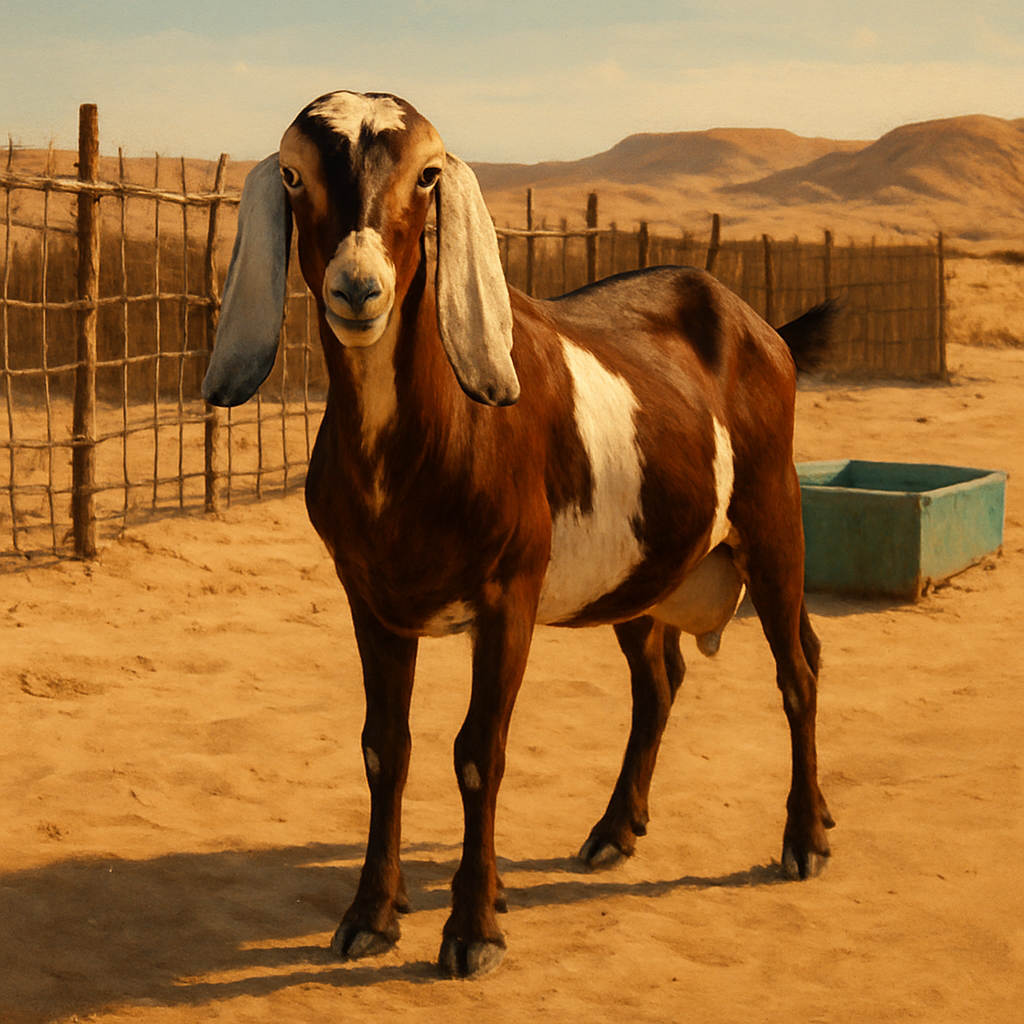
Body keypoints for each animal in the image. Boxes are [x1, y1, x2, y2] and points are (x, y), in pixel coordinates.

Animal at [203, 90, 837, 979]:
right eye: (294, 176)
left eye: (427, 177)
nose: (359, 289)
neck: (426, 439)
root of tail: (761, 326)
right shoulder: (371, 597)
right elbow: (383, 746)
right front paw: (372, 913)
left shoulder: (510, 594)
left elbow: (481, 751)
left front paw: (474, 928)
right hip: (638, 569)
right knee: (660, 678)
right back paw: (615, 829)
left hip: (772, 514)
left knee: (798, 668)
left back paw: (805, 836)